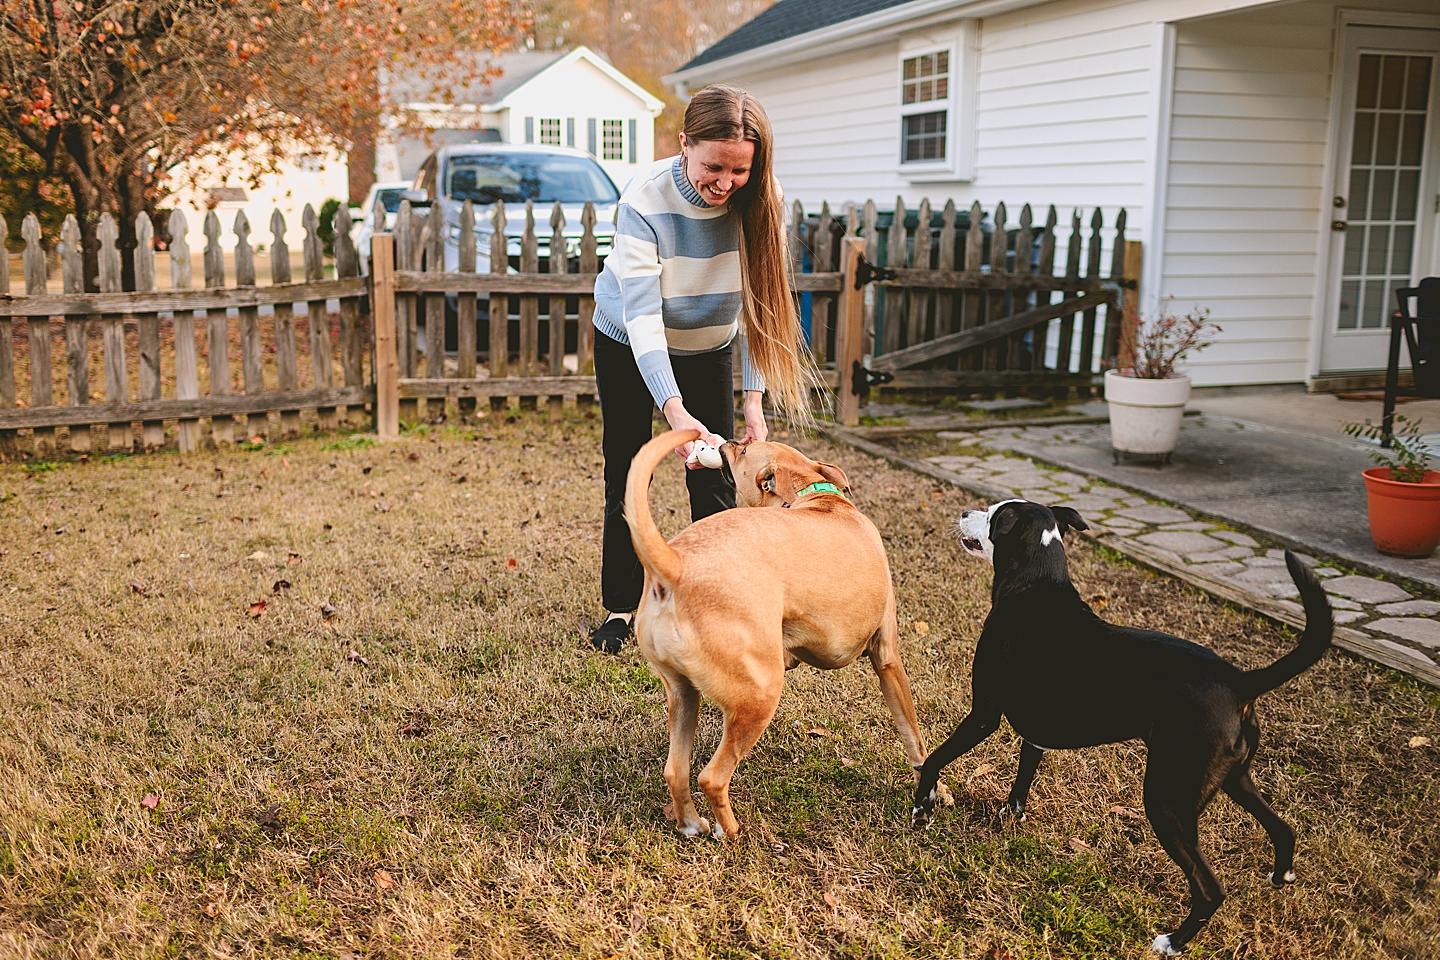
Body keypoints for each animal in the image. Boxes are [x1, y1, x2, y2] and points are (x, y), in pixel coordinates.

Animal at [622, 428, 944, 840]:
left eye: (744, 448)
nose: (728, 440)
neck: (815, 495)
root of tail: (676, 565)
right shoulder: (887, 658)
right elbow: (913, 735)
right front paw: (935, 791)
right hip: (760, 696)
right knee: (712, 777)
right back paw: (731, 832)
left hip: (683, 694)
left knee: (676, 771)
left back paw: (692, 824)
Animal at [915, 503, 1330, 955]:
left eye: (994, 514)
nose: (964, 511)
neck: (1036, 583)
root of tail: (1240, 681)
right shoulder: (1034, 734)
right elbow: (1022, 782)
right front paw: (1009, 816)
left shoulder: (984, 715)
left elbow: (932, 759)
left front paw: (921, 806)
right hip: (1234, 779)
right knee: (1284, 830)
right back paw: (1280, 876)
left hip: (1167, 802)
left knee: (1210, 889)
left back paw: (1172, 942)